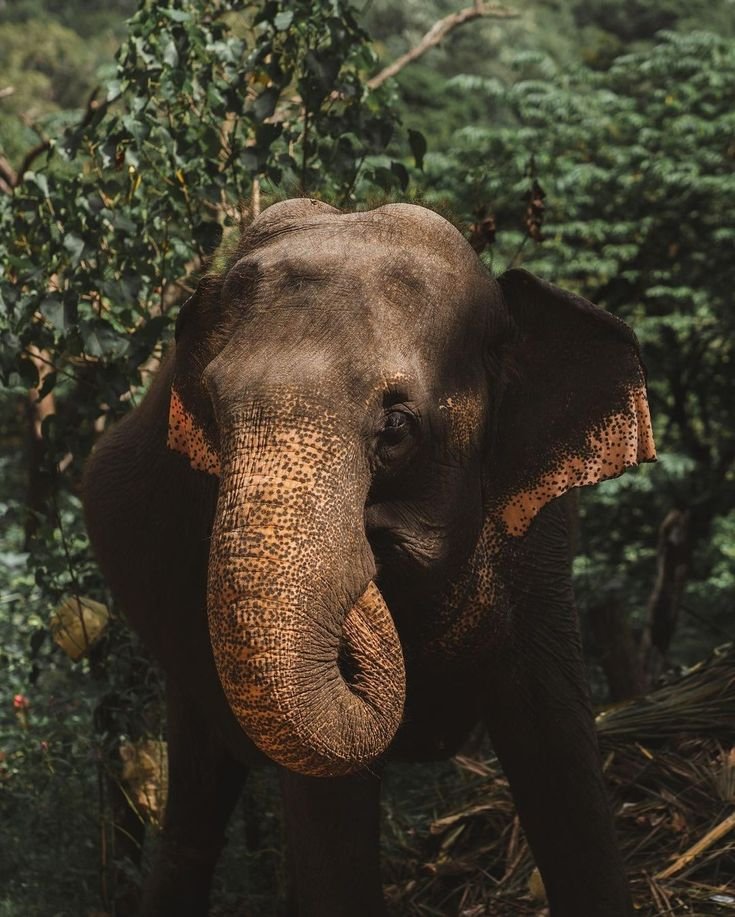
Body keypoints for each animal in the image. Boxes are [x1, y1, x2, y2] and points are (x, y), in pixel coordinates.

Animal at [83, 198, 656, 917]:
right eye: (211, 410)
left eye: (395, 427)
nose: (372, 541)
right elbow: (329, 806)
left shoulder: (538, 541)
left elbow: (557, 750)